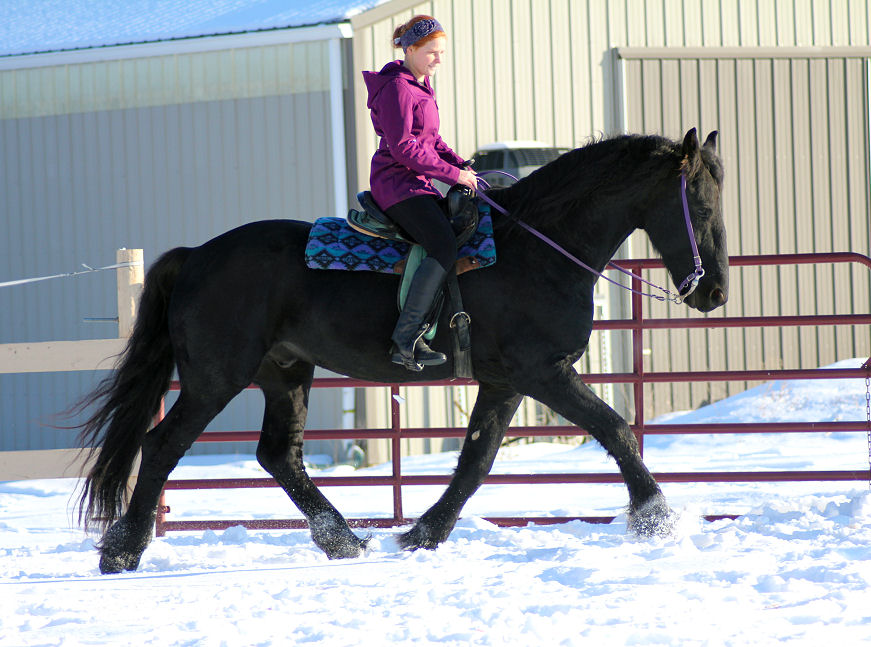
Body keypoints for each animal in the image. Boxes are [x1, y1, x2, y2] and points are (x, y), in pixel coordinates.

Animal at [75, 128, 728, 573]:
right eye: (701, 206)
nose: (715, 291)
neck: (537, 248)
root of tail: (196, 256)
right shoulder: (544, 373)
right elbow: (615, 429)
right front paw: (657, 517)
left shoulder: (506, 382)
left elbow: (475, 462)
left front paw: (423, 534)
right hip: (216, 378)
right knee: (162, 445)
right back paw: (122, 552)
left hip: (285, 372)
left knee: (279, 455)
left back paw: (343, 540)